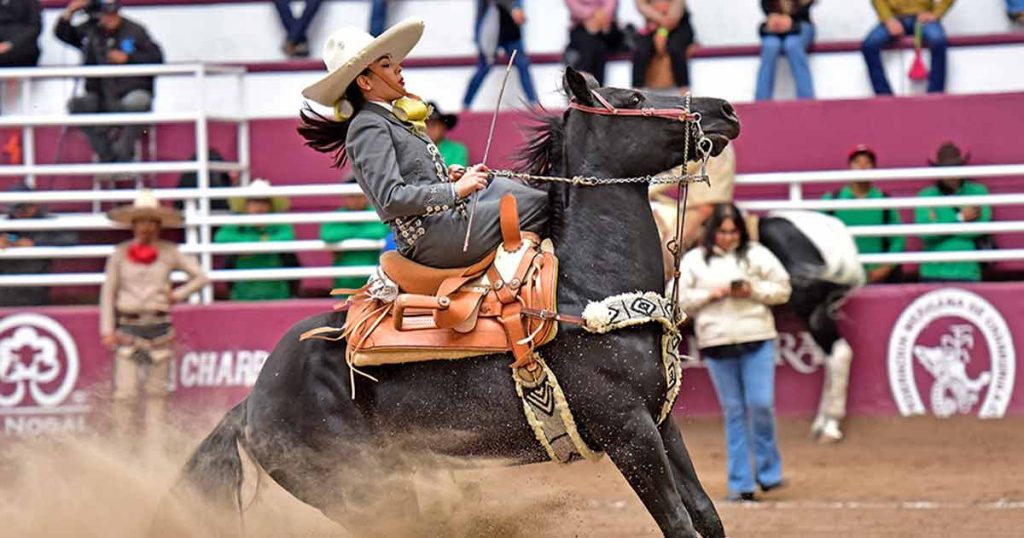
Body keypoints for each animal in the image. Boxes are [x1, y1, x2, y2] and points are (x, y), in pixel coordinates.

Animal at [174, 67, 737, 536]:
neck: (582, 292)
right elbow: (678, 523)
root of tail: (250, 405)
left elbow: (704, 512)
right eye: (633, 98)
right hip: (358, 493)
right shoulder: (626, 429)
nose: (725, 110)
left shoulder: (660, 420)